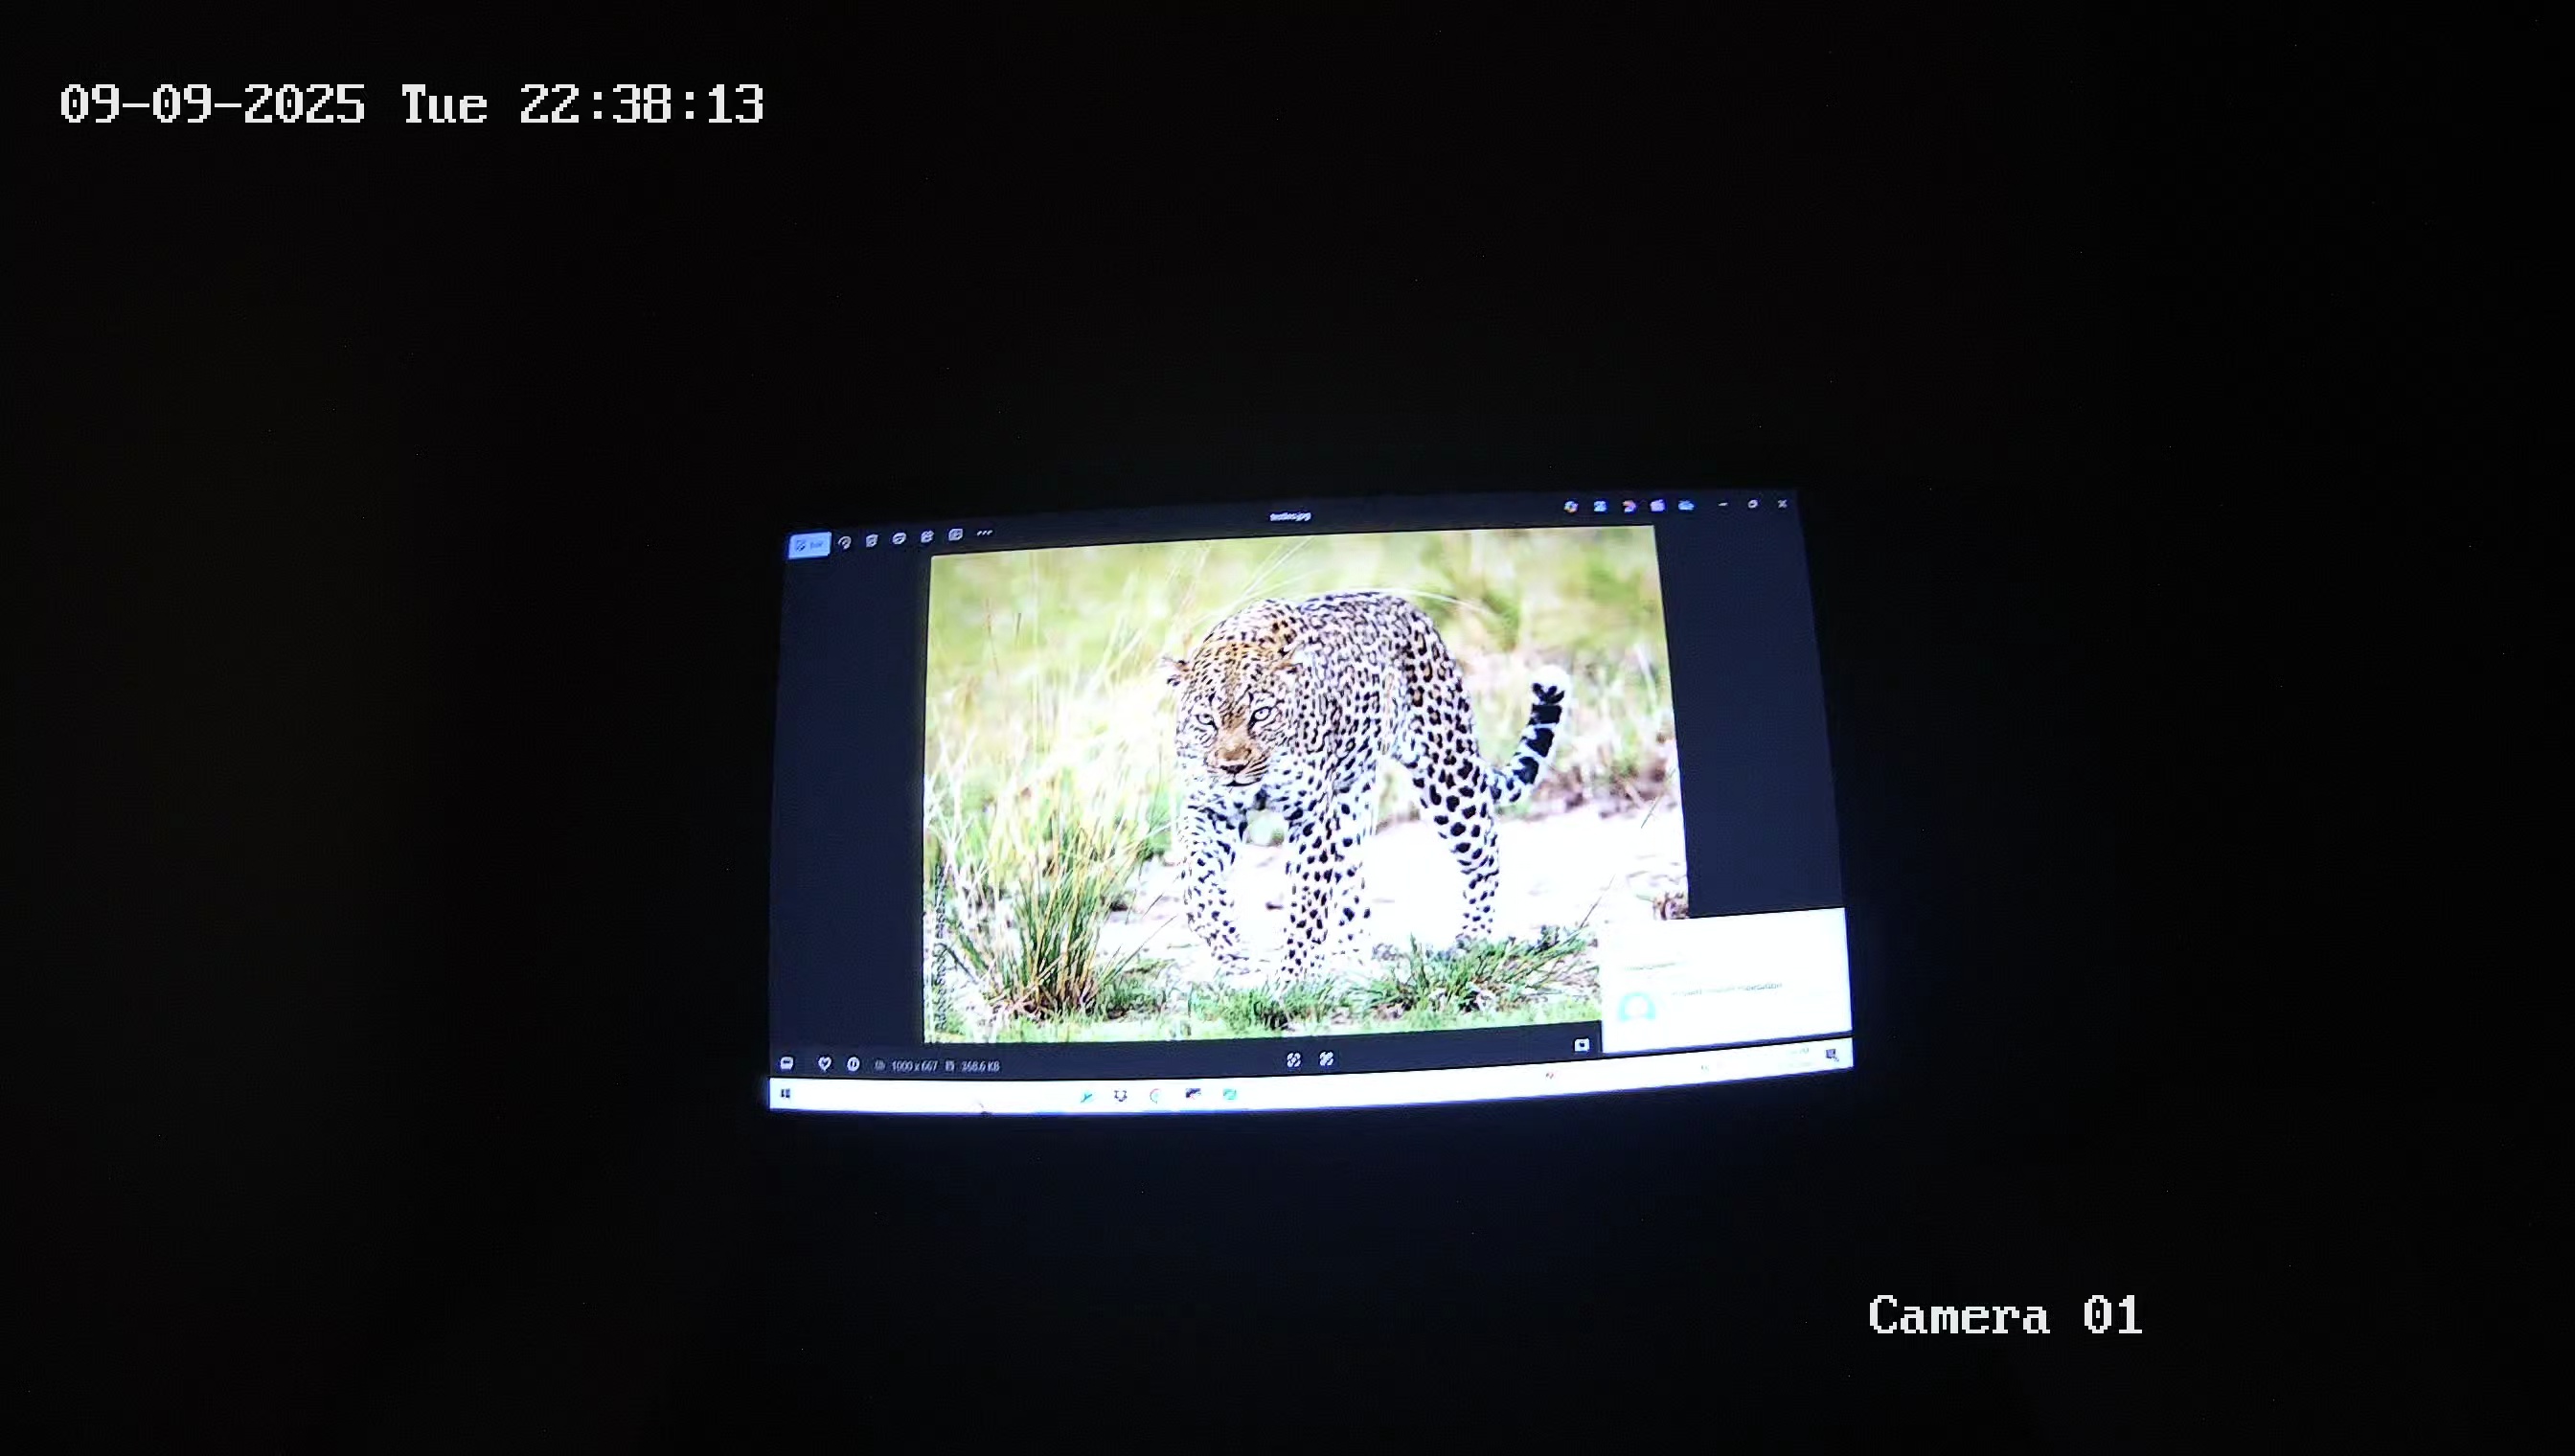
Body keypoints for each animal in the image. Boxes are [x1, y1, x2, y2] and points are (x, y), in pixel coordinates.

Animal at [1158, 590, 1568, 981]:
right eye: (1207, 719)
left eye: (1261, 714)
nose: (1232, 767)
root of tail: (1411, 610)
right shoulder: (1210, 809)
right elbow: (1195, 876)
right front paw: (1229, 946)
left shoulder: (1311, 816)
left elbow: (1308, 899)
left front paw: (1293, 976)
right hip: (1352, 803)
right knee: (1352, 881)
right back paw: (1352, 958)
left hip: (1448, 776)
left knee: (1486, 853)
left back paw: (1471, 939)